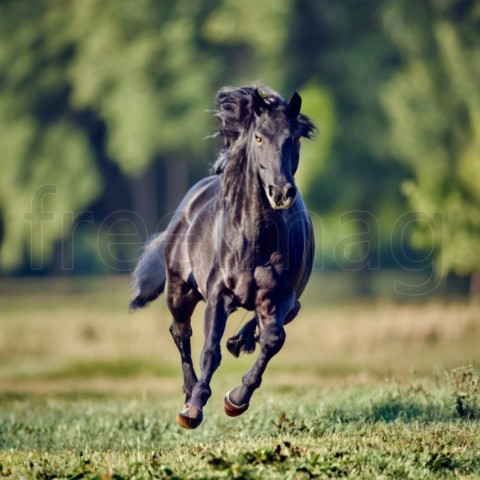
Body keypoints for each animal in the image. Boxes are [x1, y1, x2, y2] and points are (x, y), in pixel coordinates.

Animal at [130, 84, 316, 430]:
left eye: (295, 139)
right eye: (258, 137)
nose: (281, 192)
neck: (255, 241)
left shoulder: (280, 297)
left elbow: (273, 339)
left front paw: (236, 399)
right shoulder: (218, 295)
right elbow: (209, 350)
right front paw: (194, 407)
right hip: (179, 291)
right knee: (180, 333)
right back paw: (189, 391)